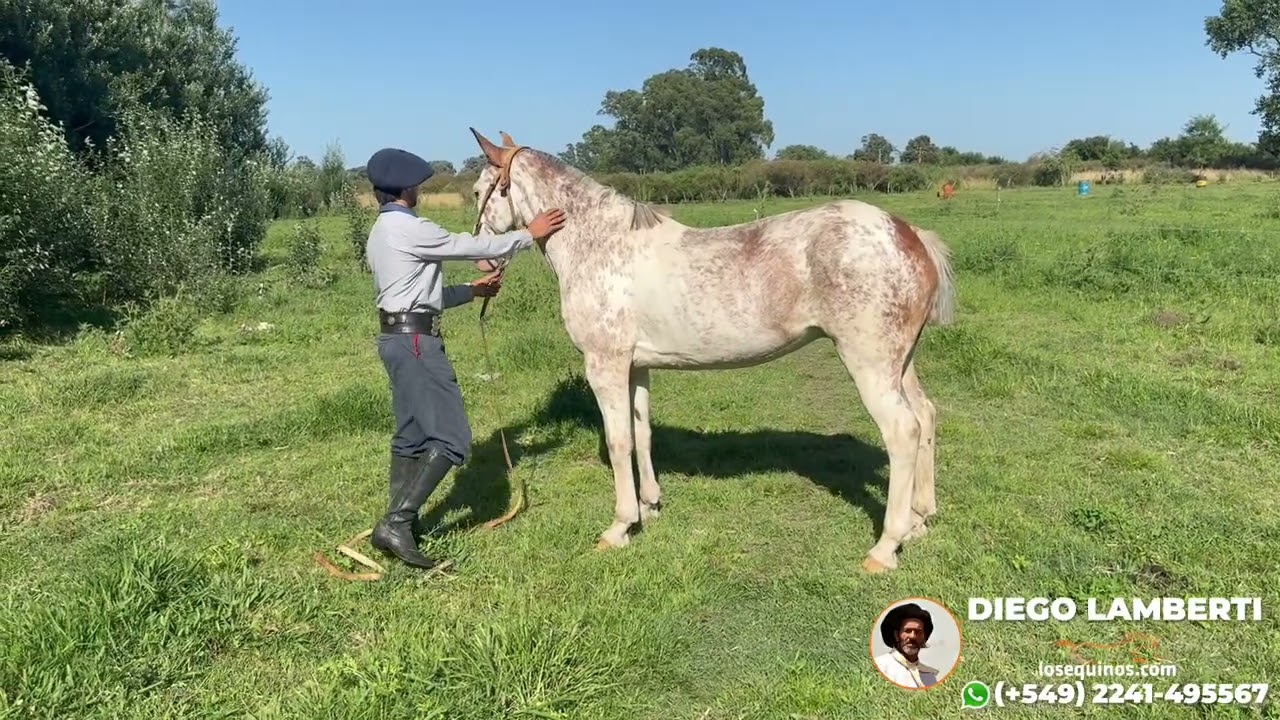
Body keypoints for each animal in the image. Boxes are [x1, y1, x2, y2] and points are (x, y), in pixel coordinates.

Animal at [467, 128, 956, 573]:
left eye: (476, 192)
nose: (484, 262)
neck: (599, 245)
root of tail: (907, 233)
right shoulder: (636, 367)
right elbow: (642, 433)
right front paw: (651, 507)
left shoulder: (604, 365)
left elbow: (618, 440)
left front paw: (620, 527)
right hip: (901, 364)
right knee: (926, 417)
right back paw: (919, 520)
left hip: (869, 364)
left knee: (902, 432)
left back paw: (885, 547)